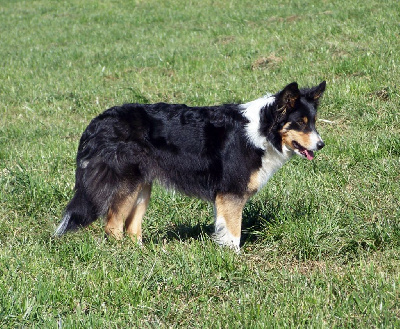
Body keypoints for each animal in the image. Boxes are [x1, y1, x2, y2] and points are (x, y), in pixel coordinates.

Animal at [55, 80, 324, 250]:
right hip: (125, 182)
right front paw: (235, 260)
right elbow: (234, 233)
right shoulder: (231, 193)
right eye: (300, 123)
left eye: (312, 122)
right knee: (112, 226)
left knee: (131, 229)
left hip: (142, 186)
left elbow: (224, 228)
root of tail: (96, 123)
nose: (321, 145)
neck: (262, 129)